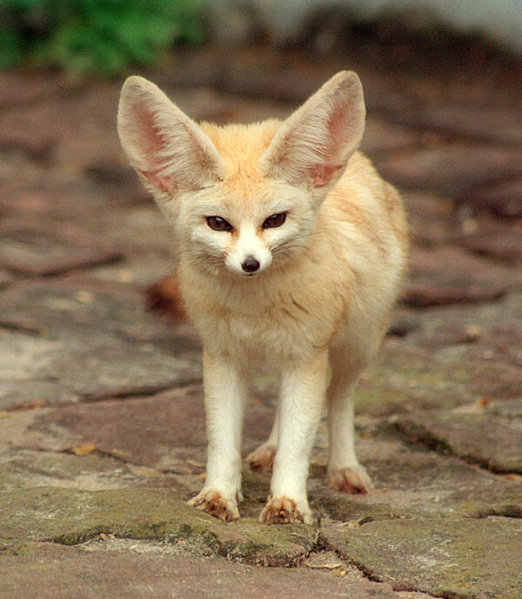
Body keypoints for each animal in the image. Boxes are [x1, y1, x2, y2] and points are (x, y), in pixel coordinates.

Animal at [118, 71, 406, 524]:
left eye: (275, 220)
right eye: (218, 223)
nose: (250, 263)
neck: (253, 308)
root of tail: (357, 161)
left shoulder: (307, 355)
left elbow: (299, 442)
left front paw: (288, 501)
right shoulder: (223, 356)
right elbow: (224, 440)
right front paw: (218, 494)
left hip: (355, 347)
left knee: (339, 399)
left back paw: (344, 467)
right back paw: (269, 449)